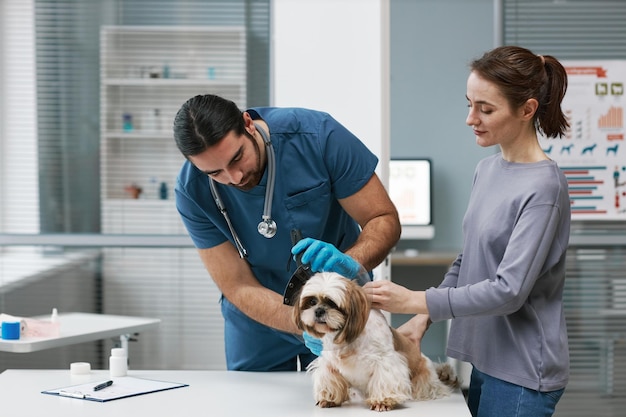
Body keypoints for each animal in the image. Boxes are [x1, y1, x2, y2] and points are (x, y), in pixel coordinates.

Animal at [292, 272, 458, 412]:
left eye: (332, 303)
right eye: (312, 301)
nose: (319, 311)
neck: (348, 339)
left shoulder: (385, 362)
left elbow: (384, 381)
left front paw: (382, 401)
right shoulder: (329, 365)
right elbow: (330, 381)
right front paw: (329, 399)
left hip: (424, 379)